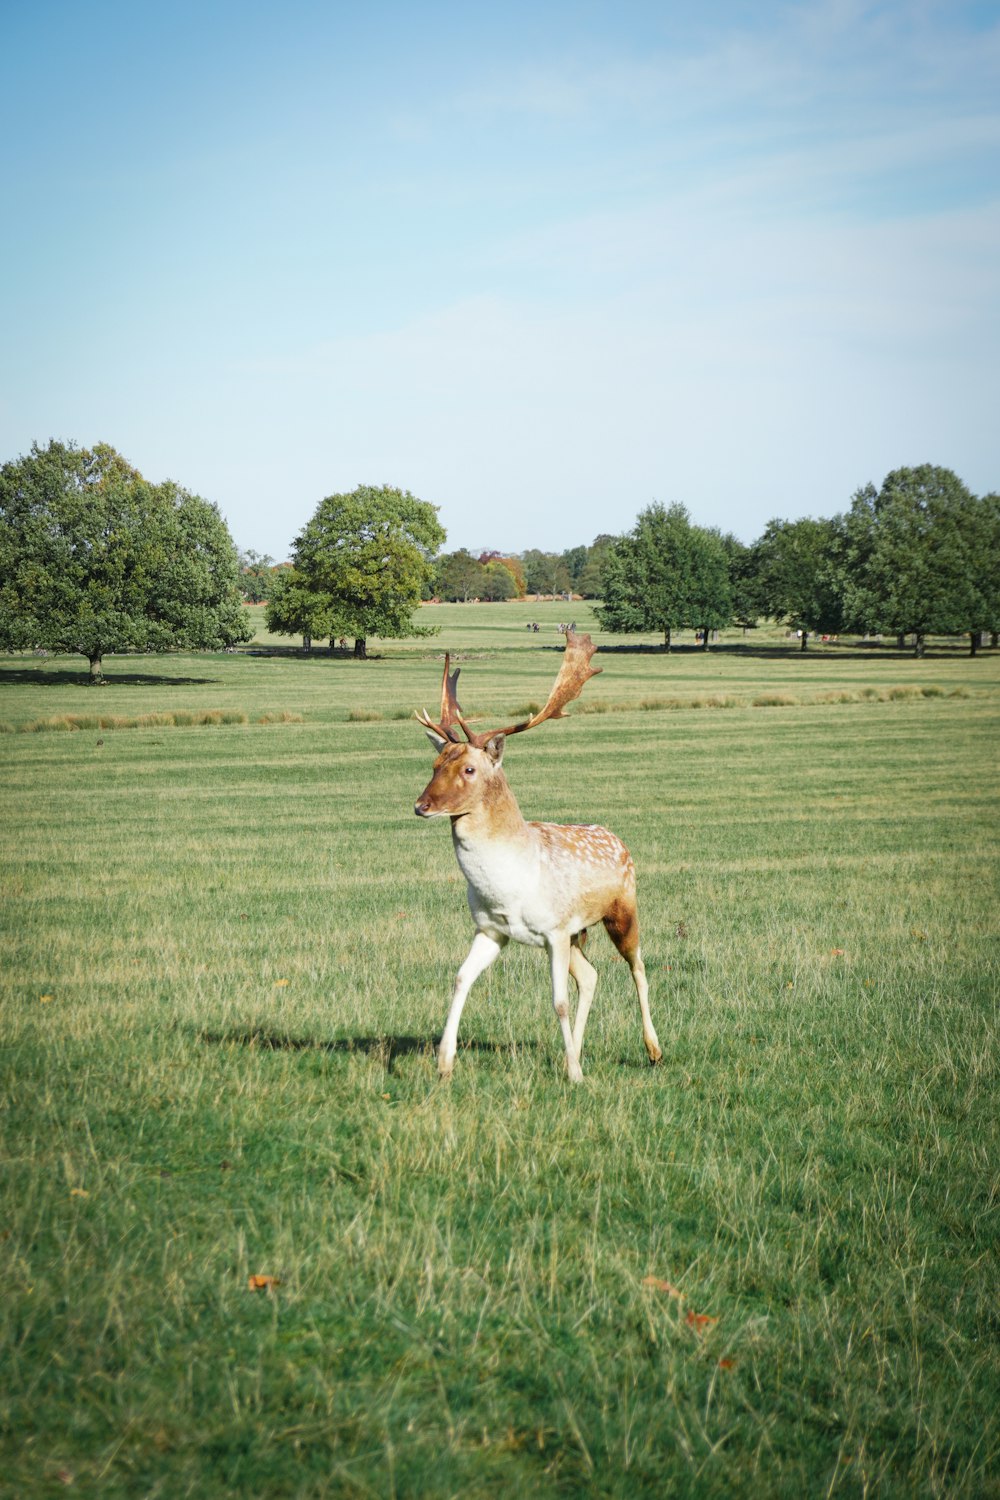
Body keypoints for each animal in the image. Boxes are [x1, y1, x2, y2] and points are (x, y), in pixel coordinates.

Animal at [413, 627, 665, 1086]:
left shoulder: (555, 929)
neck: (509, 887)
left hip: (622, 909)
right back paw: (577, 1052)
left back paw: (652, 1050)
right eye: (435, 763)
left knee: (638, 968)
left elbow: (558, 1002)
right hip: (579, 935)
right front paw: (444, 1062)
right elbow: (459, 979)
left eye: (469, 769)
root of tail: (617, 838)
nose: (421, 805)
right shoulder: (492, 930)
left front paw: (575, 1076)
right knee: (592, 975)